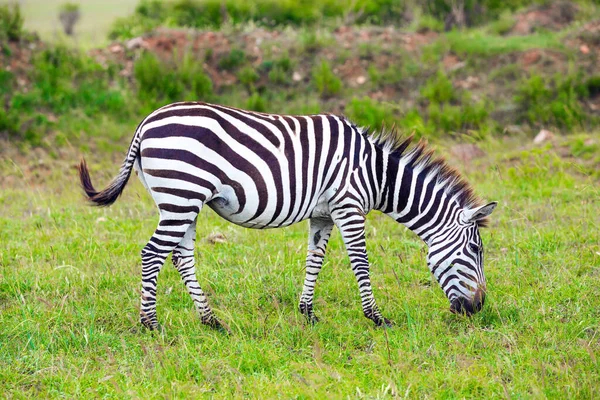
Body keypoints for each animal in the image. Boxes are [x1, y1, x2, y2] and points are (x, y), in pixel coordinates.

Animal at [78, 101, 496, 330]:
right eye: (475, 251)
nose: (478, 309)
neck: (376, 174)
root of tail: (146, 123)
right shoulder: (349, 206)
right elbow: (360, 263)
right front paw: (377, 318)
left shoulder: (323, 215)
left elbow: (315, 260)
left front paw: (307, 313)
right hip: (182, 194)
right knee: (152, 254)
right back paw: (150, 324)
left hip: (181, 201)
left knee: (181, 257)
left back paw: (211, 321)